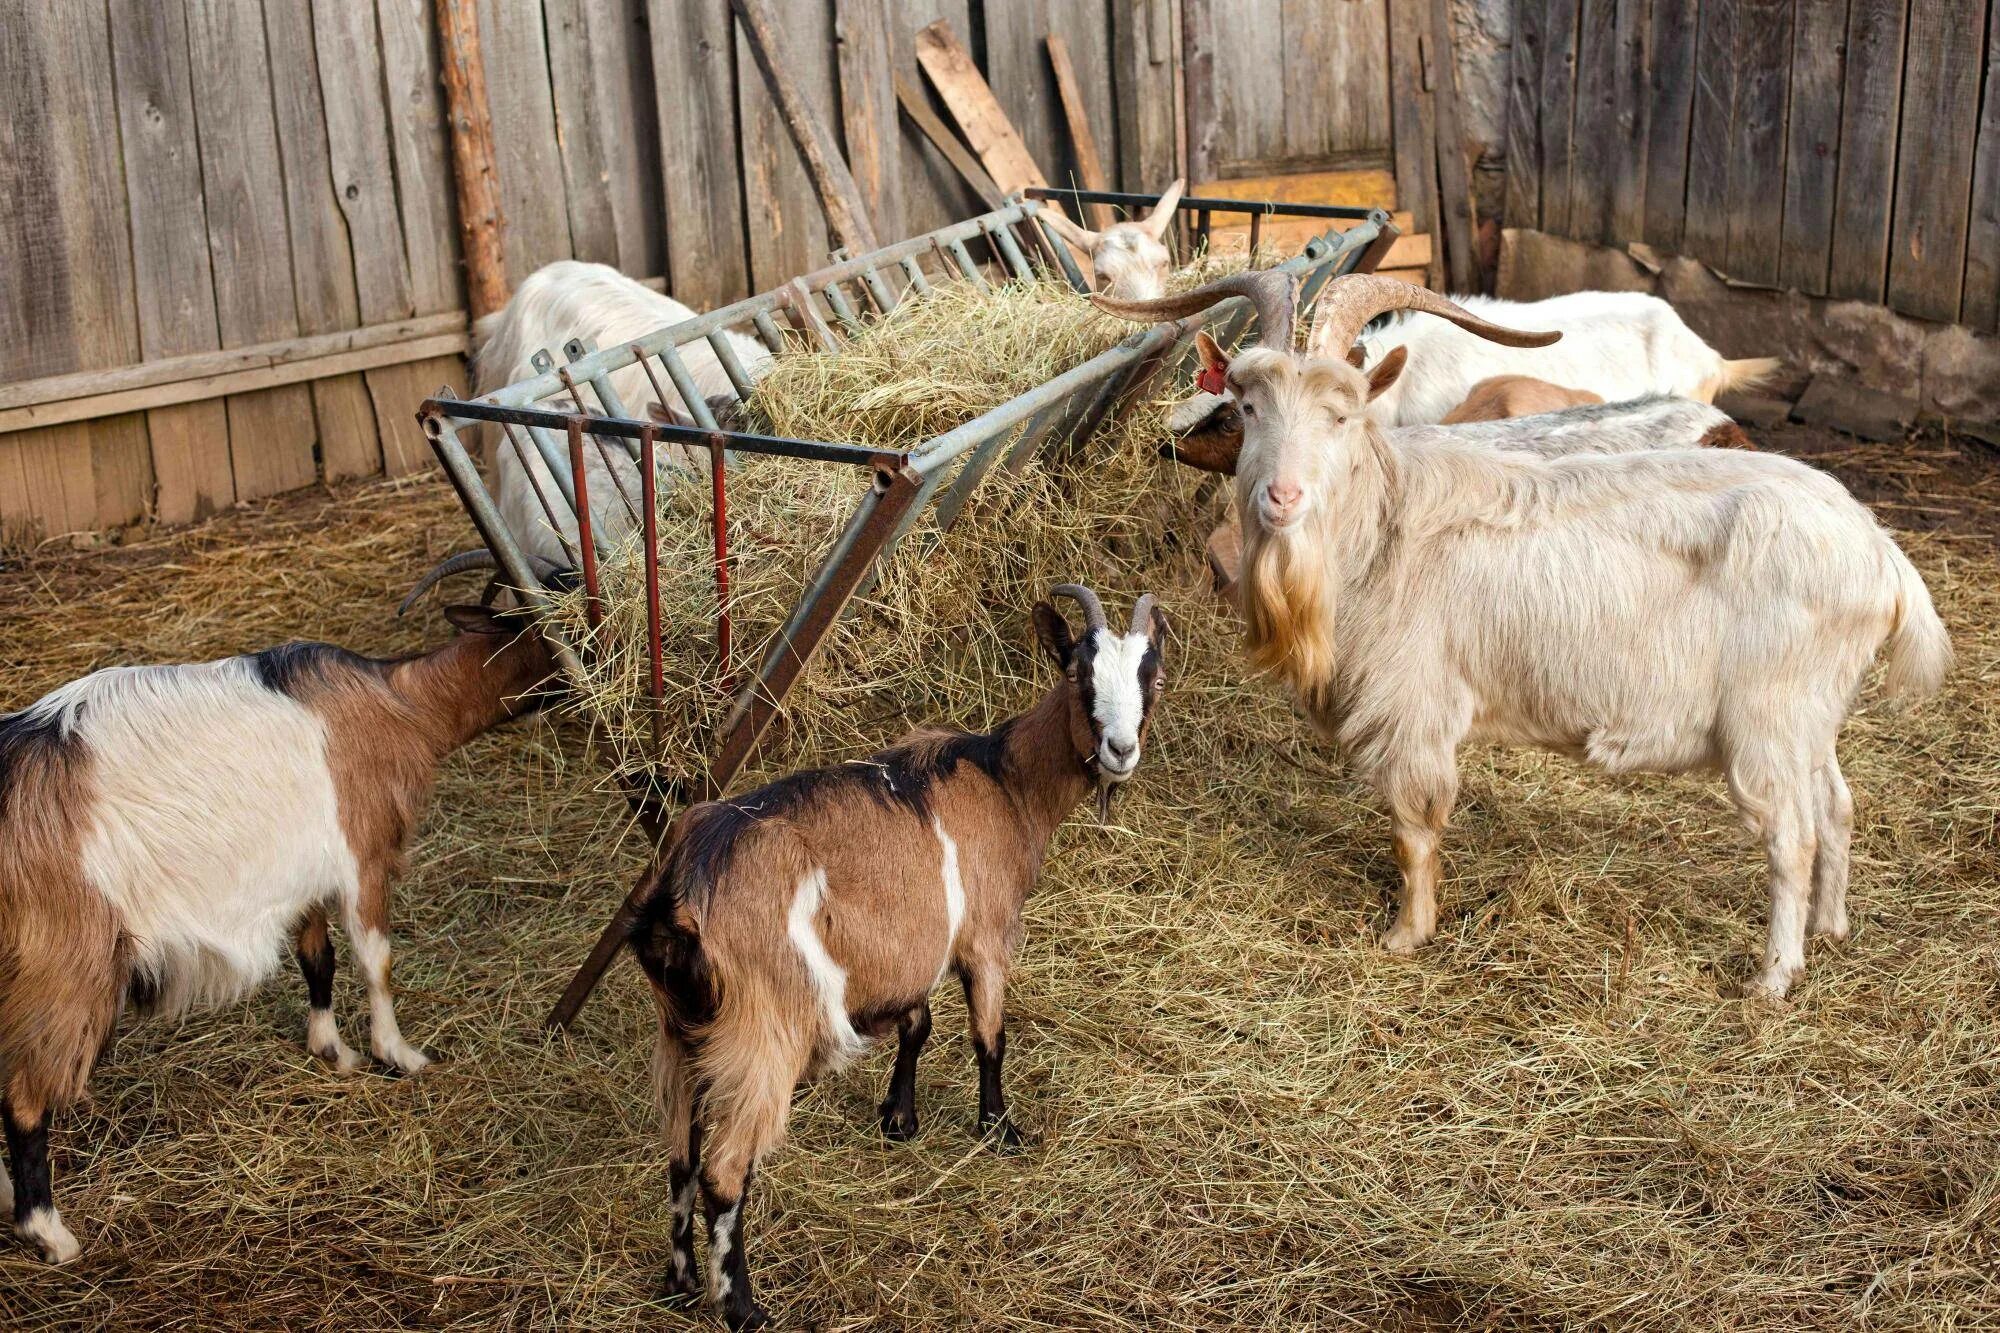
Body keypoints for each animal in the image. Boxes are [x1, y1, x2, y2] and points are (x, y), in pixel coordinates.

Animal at [0, 588, 556, 1256]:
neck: (400, 702)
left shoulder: (305, 875)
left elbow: (319, 959)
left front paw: (332, 1050)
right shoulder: (362, 855)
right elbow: (376, 961)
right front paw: (399, 1055)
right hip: (62, 968)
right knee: (25, 1096)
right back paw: (49, 1232)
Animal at [620, 588, 1160, 1320]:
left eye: (1151, 678)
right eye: (1080, 672)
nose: (1120, 748)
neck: (1003, 779)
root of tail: (682, 892)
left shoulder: (911, 947)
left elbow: (917, 1023)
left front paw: (899, 1119)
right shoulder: (987, 938)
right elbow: (990, 1035)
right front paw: (999, 1129)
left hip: (679, 1029)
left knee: (679, 1149)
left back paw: (678, 1283)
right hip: (764, 1030)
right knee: (725, 1169)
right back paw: (742, 1307)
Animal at [1096, 270, 1952, 996]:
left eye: (1341, 415)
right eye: (1248, 408)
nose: (1281, 496)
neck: (1378, 529)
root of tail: (1879, 553)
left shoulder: (1414, 709)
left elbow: (1414, 827)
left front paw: (1405, 935)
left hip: (1765, 720)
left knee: (1791, 837)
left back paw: (1774, 977)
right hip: (1812, 715)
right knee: (1838, 806)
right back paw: (1833, 929)